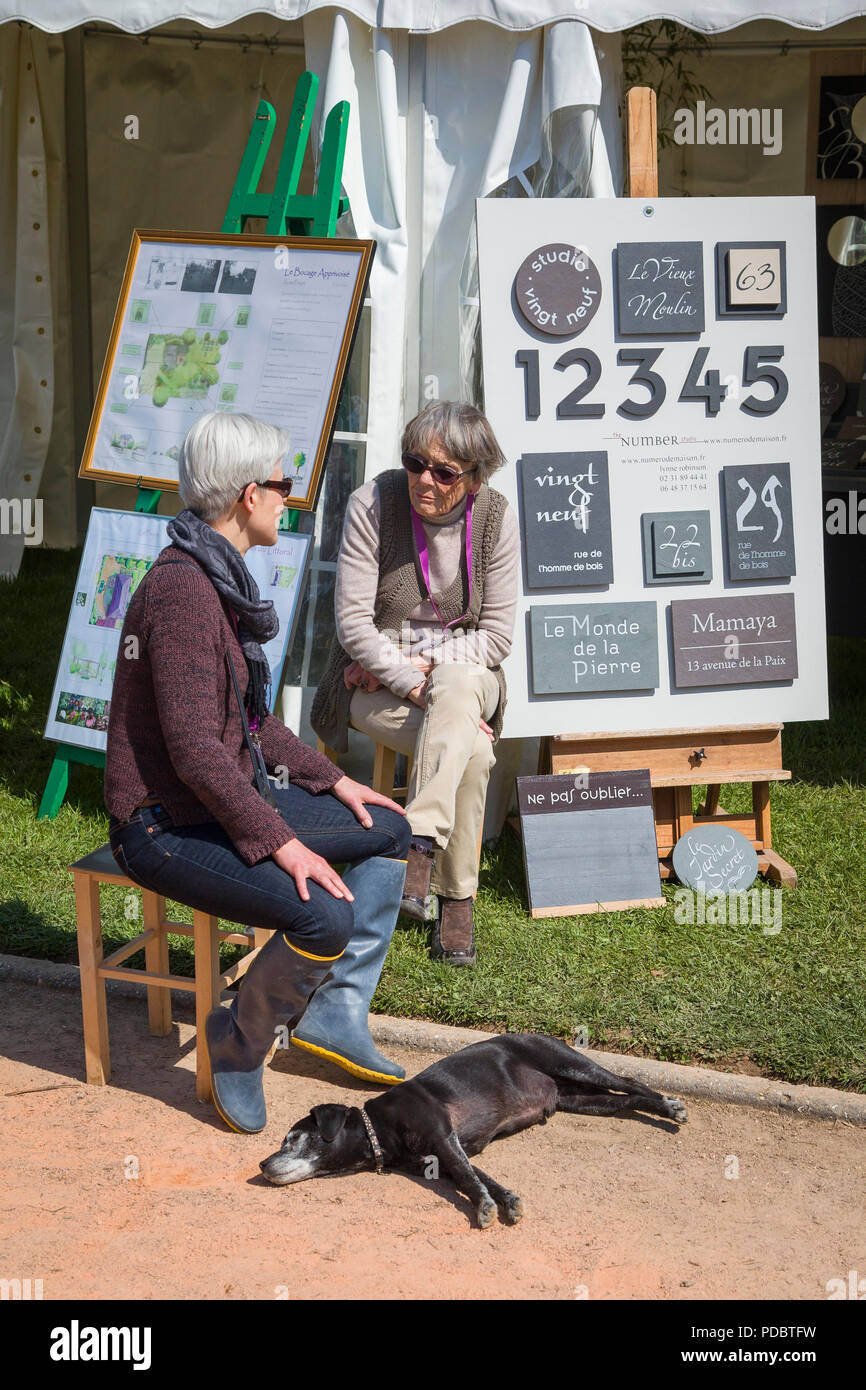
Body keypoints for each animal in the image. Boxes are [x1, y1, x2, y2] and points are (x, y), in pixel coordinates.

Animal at [261, 1034, 686, 1228]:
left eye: (293, 1140)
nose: (262, 1165)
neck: (377, 1127)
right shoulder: (449, 1151)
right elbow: (481, 1177)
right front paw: (505, 1201)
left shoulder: (443, 1139)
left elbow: (468, 1178)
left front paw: (484, 1208)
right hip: (580, 1099)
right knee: (626, 1100)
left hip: (572, 1064)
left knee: (631, 1081)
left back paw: (670, 1105)